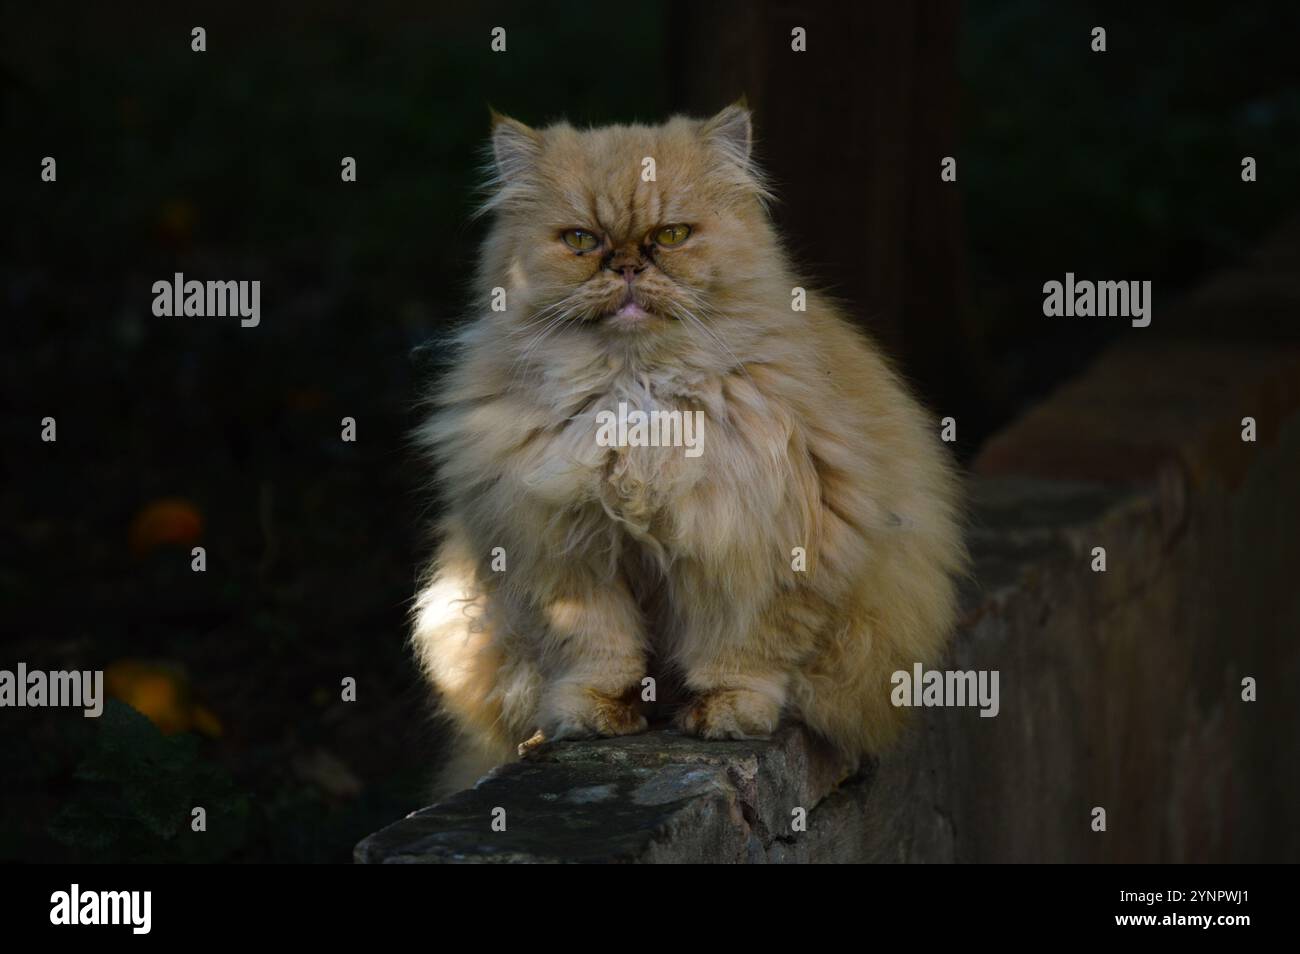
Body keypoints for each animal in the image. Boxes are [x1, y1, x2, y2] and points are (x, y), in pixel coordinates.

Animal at [410, 104, 972, 800]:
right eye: (581, 241)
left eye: (673, 236)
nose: (627, 264)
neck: (636, 398)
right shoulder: (565, 554)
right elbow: (595, 651)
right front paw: (596, 718)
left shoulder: (762, 548)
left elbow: (743, 654)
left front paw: (727, 716)